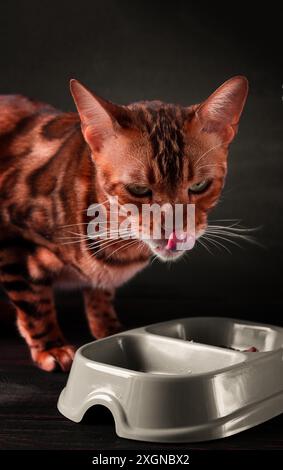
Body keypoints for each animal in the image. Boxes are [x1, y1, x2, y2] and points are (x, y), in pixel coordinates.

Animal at [0, 76, 248, 370]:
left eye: (200, 186)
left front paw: (108, 329)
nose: (174, 229)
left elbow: (101, 294)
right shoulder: (12, 241)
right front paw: (52, 347)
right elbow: (34, 303)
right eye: (138, 189)